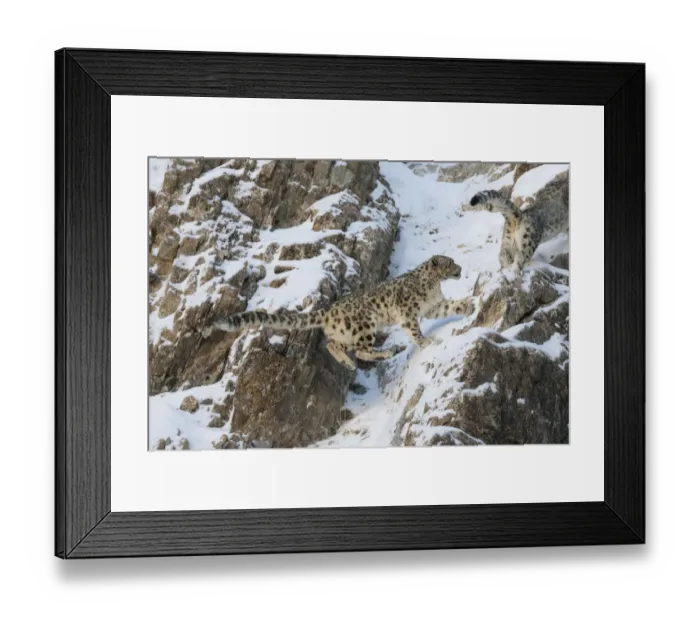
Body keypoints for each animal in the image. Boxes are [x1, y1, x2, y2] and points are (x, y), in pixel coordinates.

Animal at [203, 255, 475, 370]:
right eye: (450, 262)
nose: (461, 268)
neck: (433, 286)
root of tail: (329, 310)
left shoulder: (434, 305)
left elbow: (451, 306)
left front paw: (468, 306)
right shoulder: (408, 313)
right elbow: (414, 330)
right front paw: (427, 341)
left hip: (346, 333)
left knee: (334, 344)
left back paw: (347, 362)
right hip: (365, 326)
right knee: (361, 350)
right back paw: (382, 352)